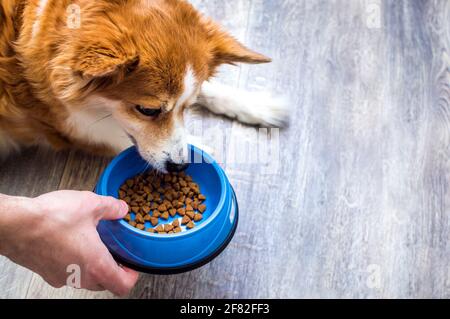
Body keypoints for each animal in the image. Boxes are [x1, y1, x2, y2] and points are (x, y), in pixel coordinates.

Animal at [0, 0, 288, 172]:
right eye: (147, 111)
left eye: (188, 107)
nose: (180, 167)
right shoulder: (64, 126)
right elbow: (124, 140)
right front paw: (204, 150)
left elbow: (207, 89)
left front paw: (256, 104)